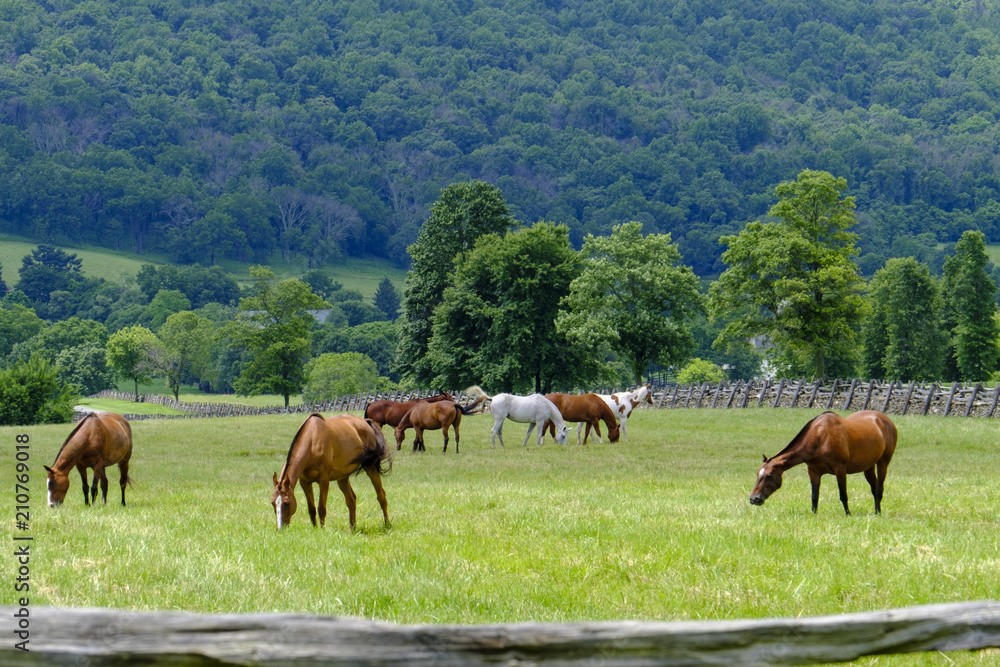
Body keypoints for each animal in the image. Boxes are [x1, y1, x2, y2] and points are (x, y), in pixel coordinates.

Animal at [752, 412, 900, 516]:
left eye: (769, 475)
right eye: (757, 474)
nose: (754, 499)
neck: (820, 437)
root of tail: (885, 420)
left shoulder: (840, 470)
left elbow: (843, 495)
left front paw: (848, 514)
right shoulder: (813, 472)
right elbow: (814, 496)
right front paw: (814, 514)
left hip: (883, 463)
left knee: (879, 489)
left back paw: (878, 513)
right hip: (868, 467)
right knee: (874, 489)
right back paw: (876, 511)